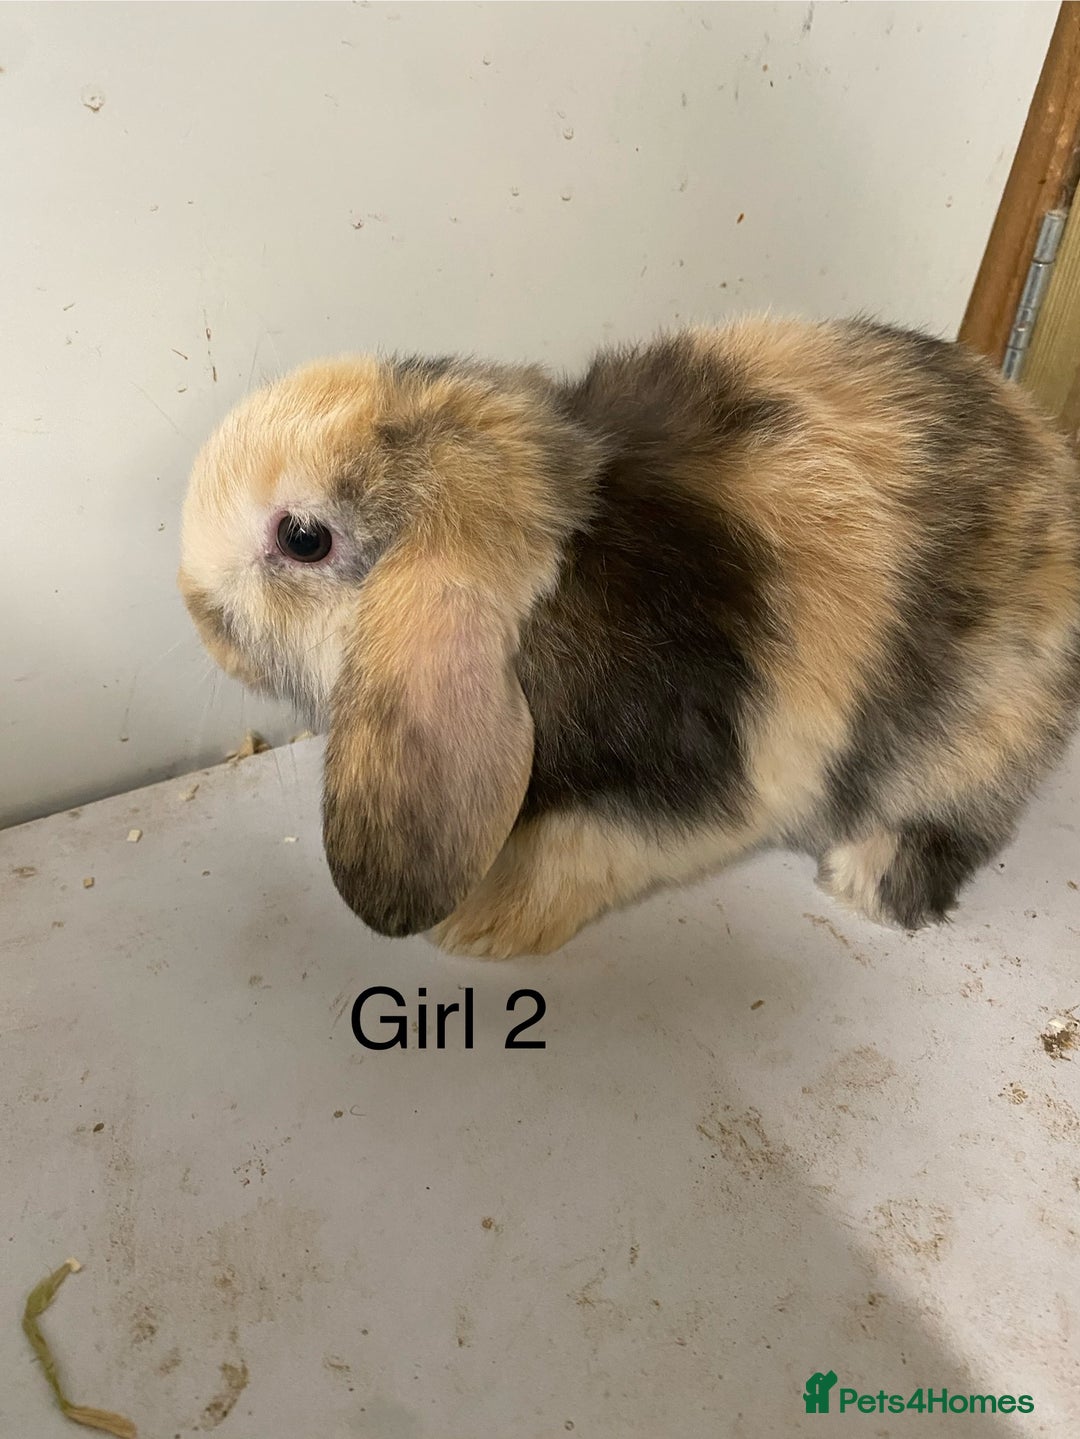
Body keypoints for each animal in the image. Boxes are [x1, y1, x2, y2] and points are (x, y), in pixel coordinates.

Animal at [179, 317, 1080, 958]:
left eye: (303, 538)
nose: (195, 609)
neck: (551, 595)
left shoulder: (695, 782)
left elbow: (580, 847)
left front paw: (480, 925)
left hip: (983, 740)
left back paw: (871, 878)